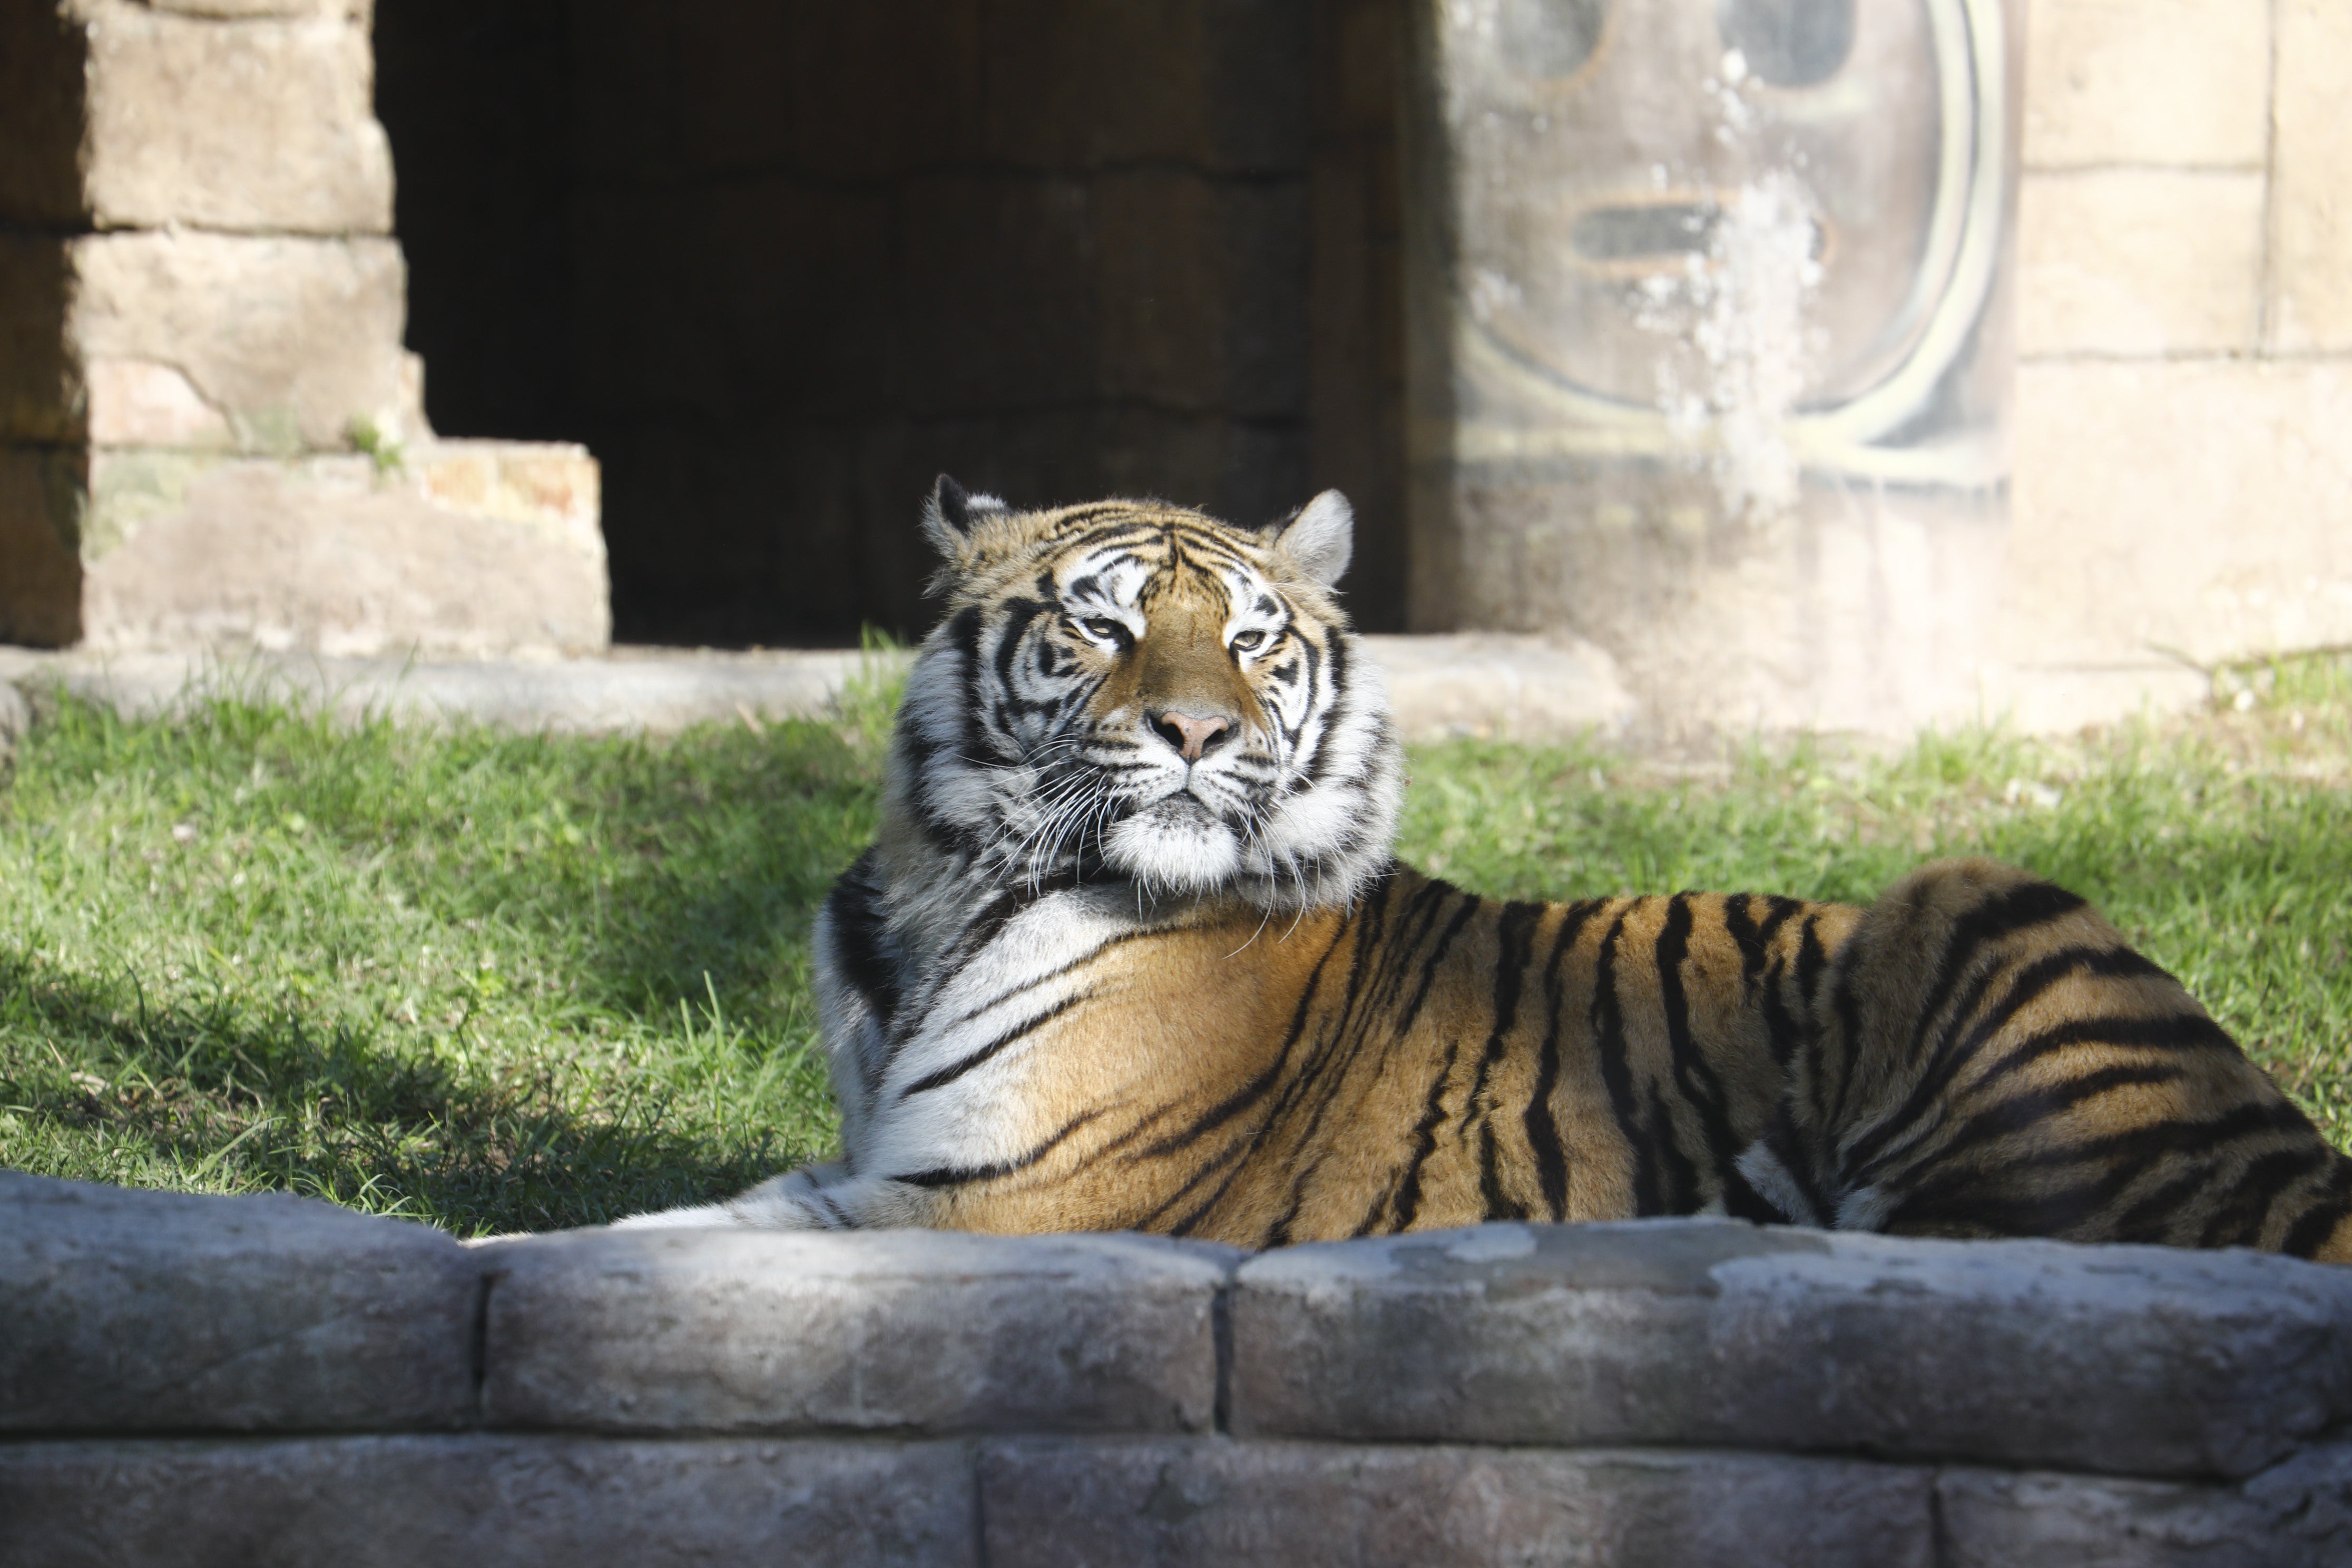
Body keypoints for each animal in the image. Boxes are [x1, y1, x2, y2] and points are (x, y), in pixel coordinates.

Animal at [621, 479, 2352, 1260]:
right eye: (1101, 628)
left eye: (1250, 640)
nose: (1194, 728)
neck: (944, 890)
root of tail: (2299, 1154)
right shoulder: (875, 1168)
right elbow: (676, 1224)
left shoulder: (1004, 1206)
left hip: (1973, 898)